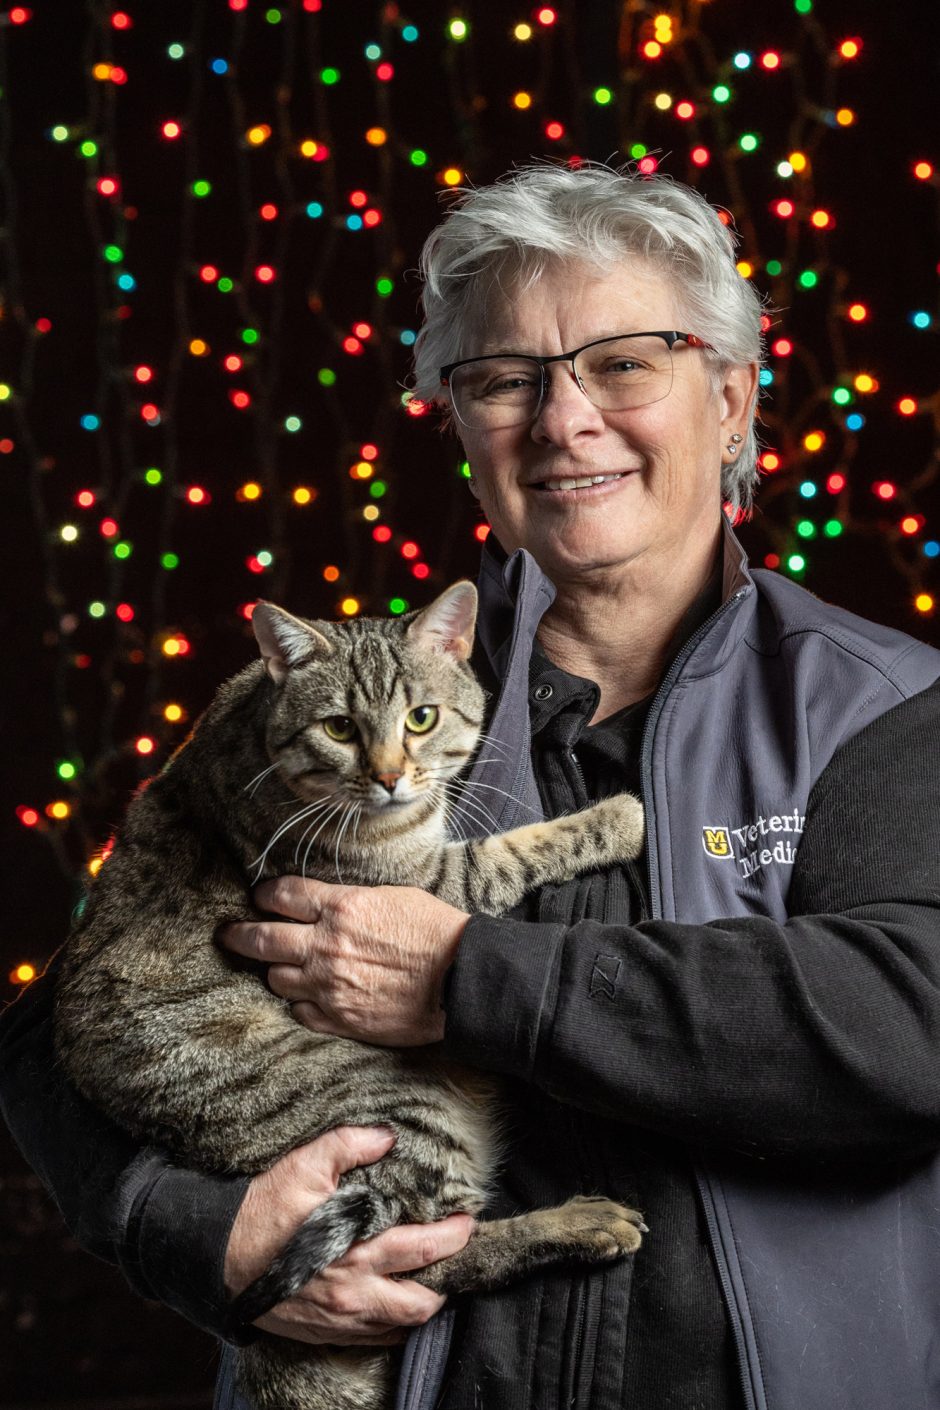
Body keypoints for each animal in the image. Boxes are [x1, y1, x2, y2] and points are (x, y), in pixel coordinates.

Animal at [55, 578, 648, 1404]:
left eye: (421, 718)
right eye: (339, 728)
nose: (390, 776)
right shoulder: (424, 888)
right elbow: (516, 850)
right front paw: (618, 816)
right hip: (401, 1106)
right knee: (426, 1261)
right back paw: (581, 1224)